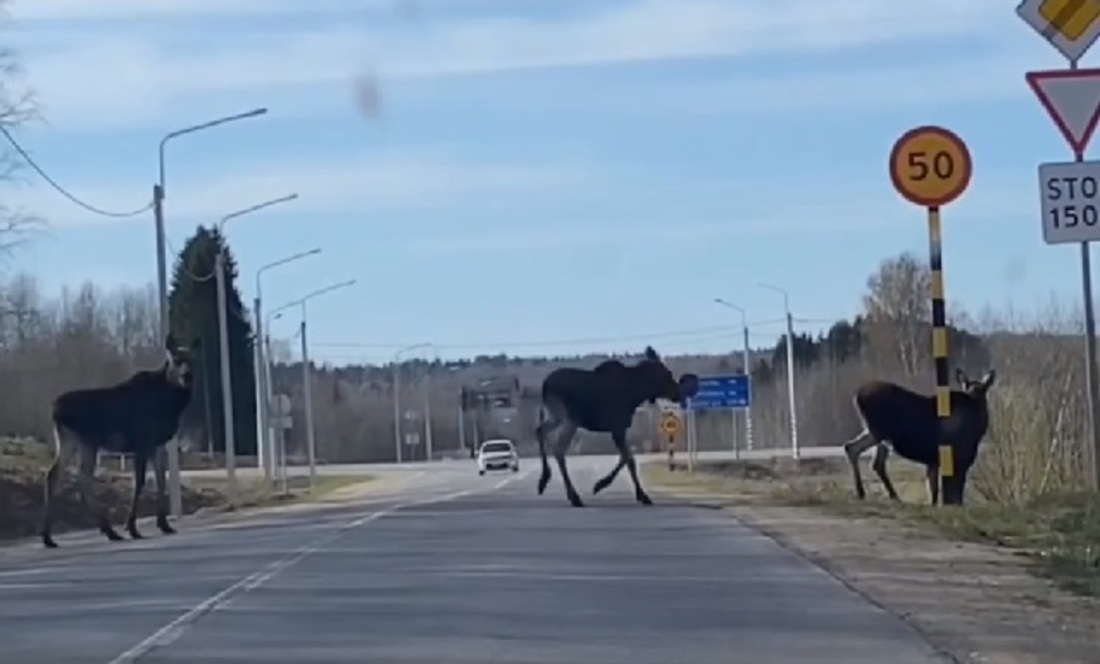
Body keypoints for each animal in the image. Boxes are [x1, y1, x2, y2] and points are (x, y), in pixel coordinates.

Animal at [39, 334, 199, 547]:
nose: (187, 377)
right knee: (79, 476)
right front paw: (132, 528)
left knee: (59, 474)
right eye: (176, 360)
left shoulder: (157, 444)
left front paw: (164, 524)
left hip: (72, 441)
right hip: (85, 441)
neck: (171, 405)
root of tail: (54, 409)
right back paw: (105, 530)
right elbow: (139, 481)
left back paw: (53, 536)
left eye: (193, 360)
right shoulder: (142, 441)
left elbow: (160, 480)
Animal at [532, 345, 695, 505]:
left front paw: (635, 493)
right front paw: (637, 493)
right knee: (558, 449)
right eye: (668, 374)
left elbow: (627, 457)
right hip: (570, 419)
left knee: (539, 431)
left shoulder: (618, 429)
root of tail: (544, 387)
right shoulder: (617, 427)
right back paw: (573, 496)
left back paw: (544, 480)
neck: (637, 392)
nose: (678, 394)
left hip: (556, 415)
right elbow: (628, 458)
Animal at [840, 364, 998, 505]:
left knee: (864, 455)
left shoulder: (934, 460)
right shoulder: (960, 459)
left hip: (878, 434)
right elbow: (955, 493)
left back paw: (886, 494)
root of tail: (856, 397)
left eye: (982, 390)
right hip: (878, 432)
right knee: (857, 451)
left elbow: (933, 489)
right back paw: (865, 492)